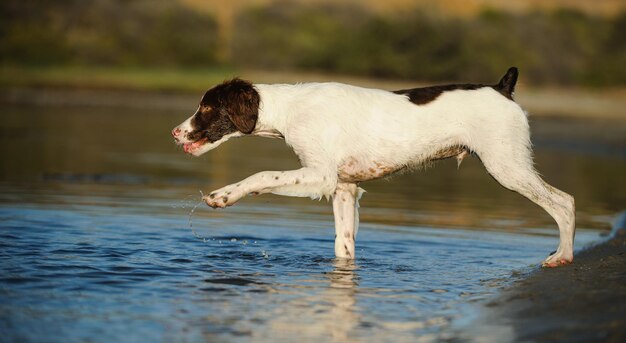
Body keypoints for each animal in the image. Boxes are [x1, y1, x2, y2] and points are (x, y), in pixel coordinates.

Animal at [172, 66, 576, 266]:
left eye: (206, 107)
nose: (176, 132)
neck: (290, 109)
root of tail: (501, 88)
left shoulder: (320, 176)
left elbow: (260, 175)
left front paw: (223, 196)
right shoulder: (344, 188)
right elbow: (344, 244)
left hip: (507, 166)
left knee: (565, 202)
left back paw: (563, 256)